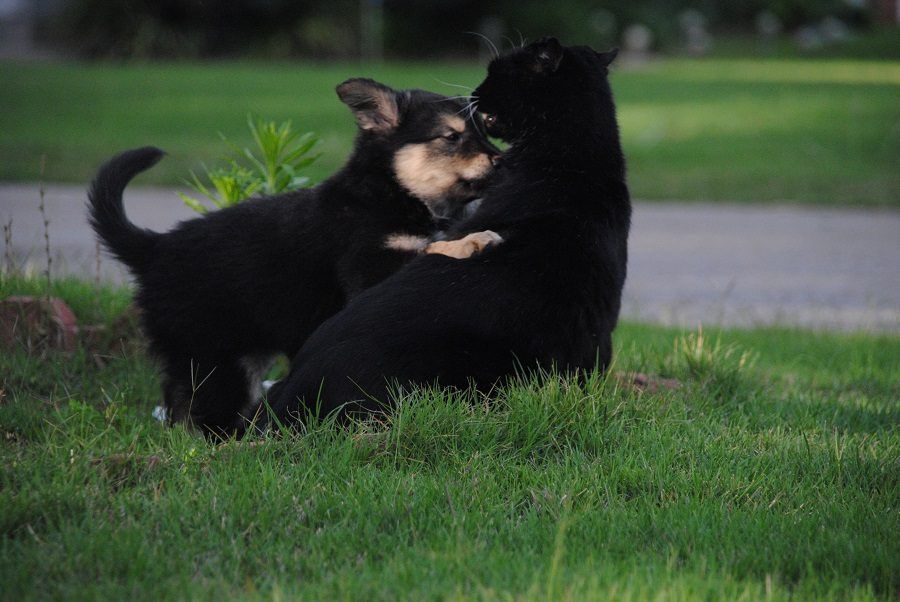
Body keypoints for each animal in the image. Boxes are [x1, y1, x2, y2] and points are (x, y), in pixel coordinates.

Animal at [89, 79, 500, 436]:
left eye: (484, 129)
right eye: (452, 136)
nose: (501, 158)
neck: (393, 193)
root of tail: (154, 248)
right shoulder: (371, 269)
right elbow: (429, 248)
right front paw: (474, 240)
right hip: (214, 359)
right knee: (206, 414)